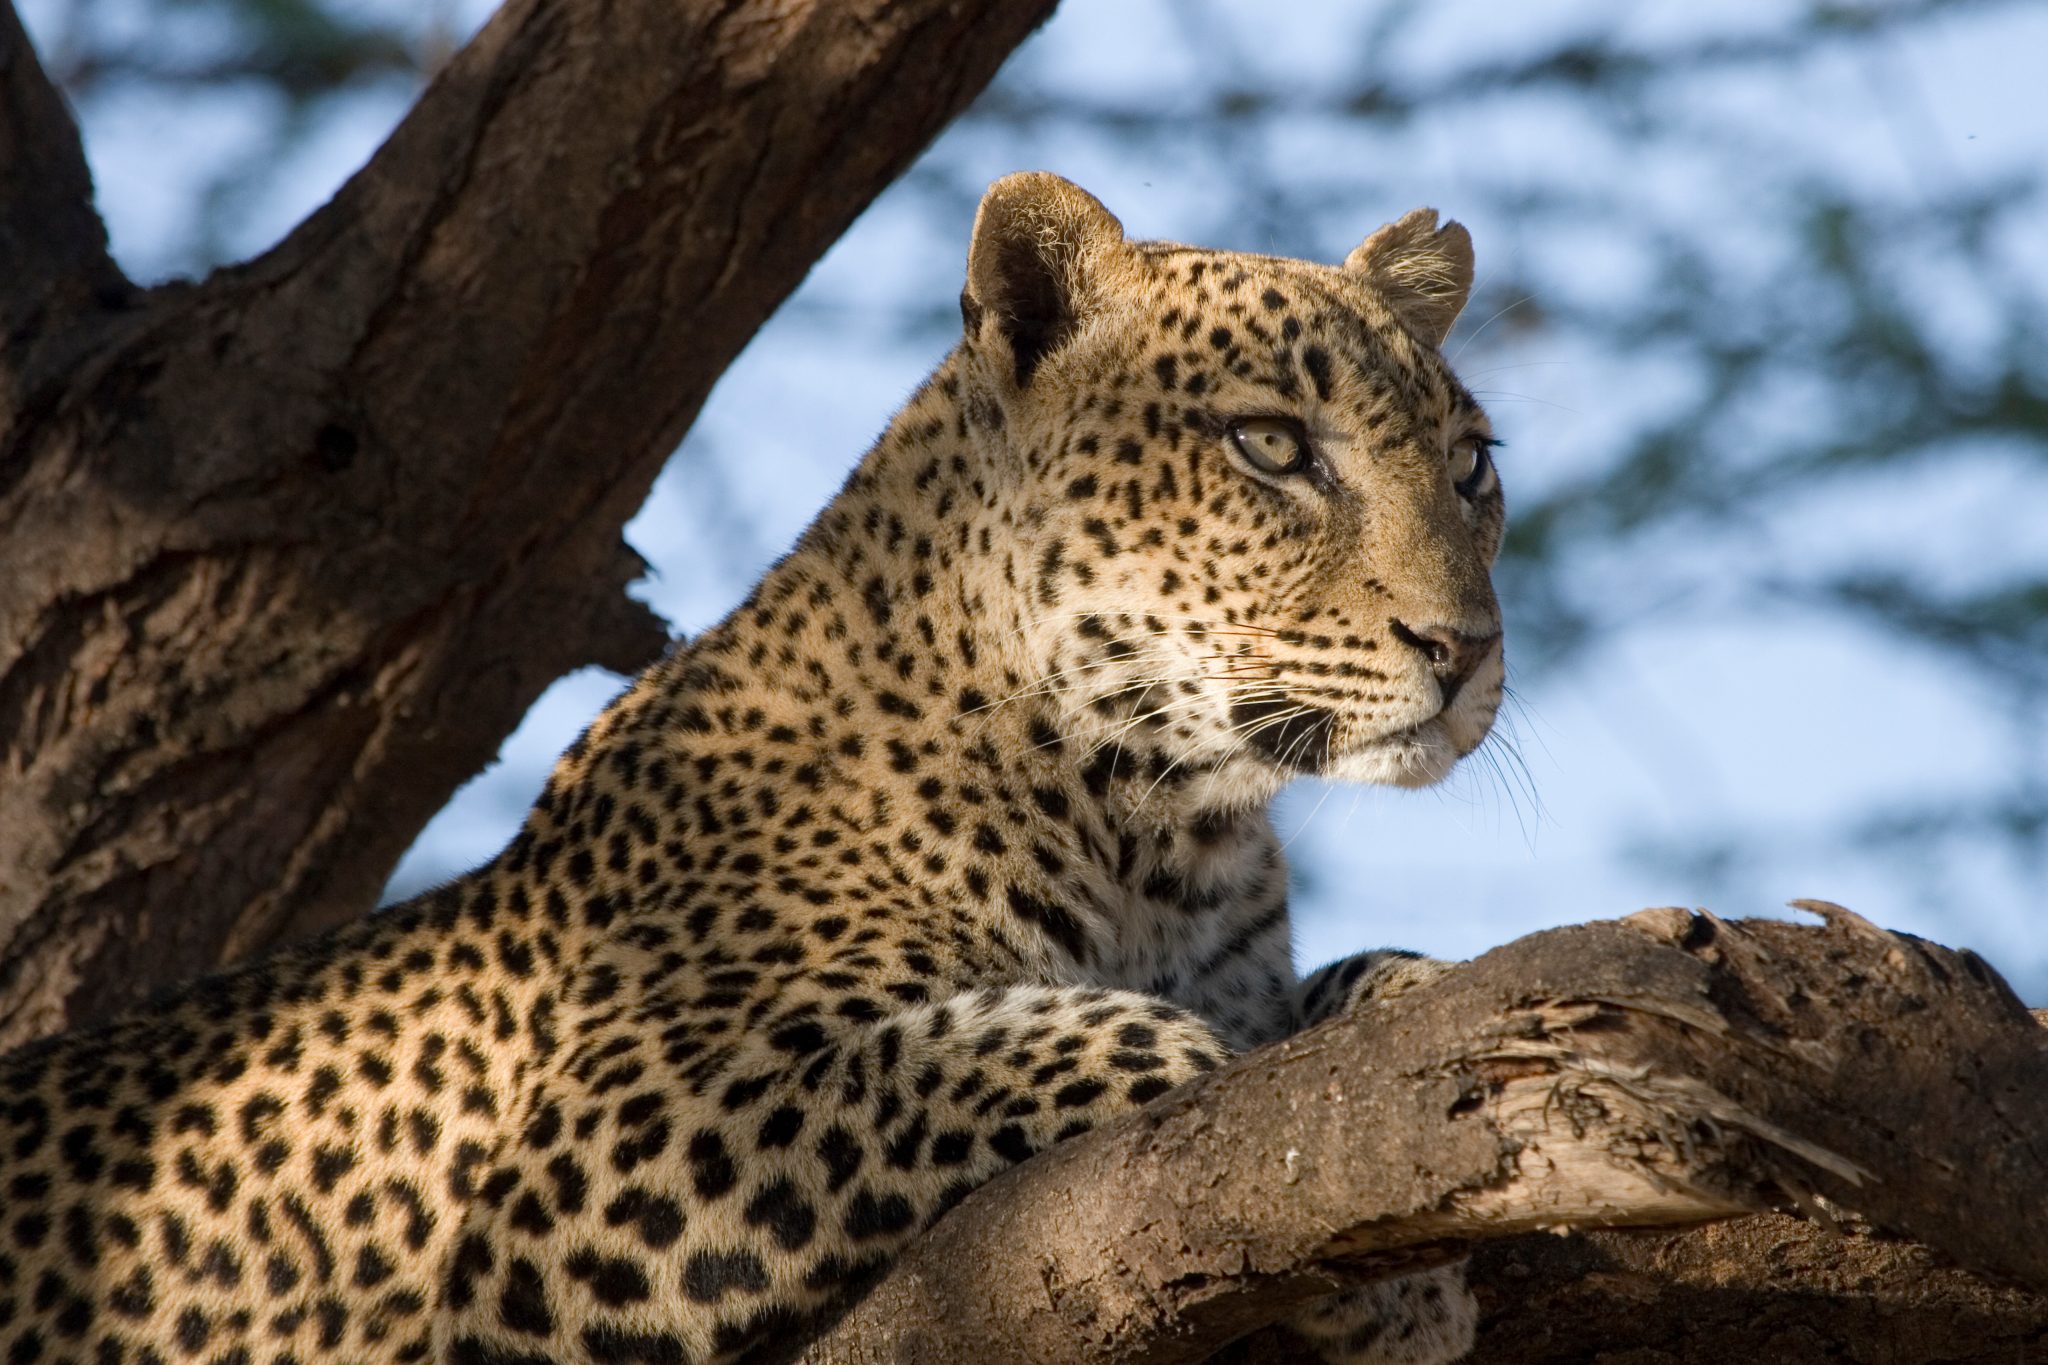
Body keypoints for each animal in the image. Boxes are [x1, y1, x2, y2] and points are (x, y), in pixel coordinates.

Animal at [0, 173, 1507, 1365]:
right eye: (1270, 446)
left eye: (1469, 465)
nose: (1467, 648)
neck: (1159, 823)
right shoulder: (599, 1157)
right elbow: (1067, 1043)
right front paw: (1381, 1270)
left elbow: (1366, 989)